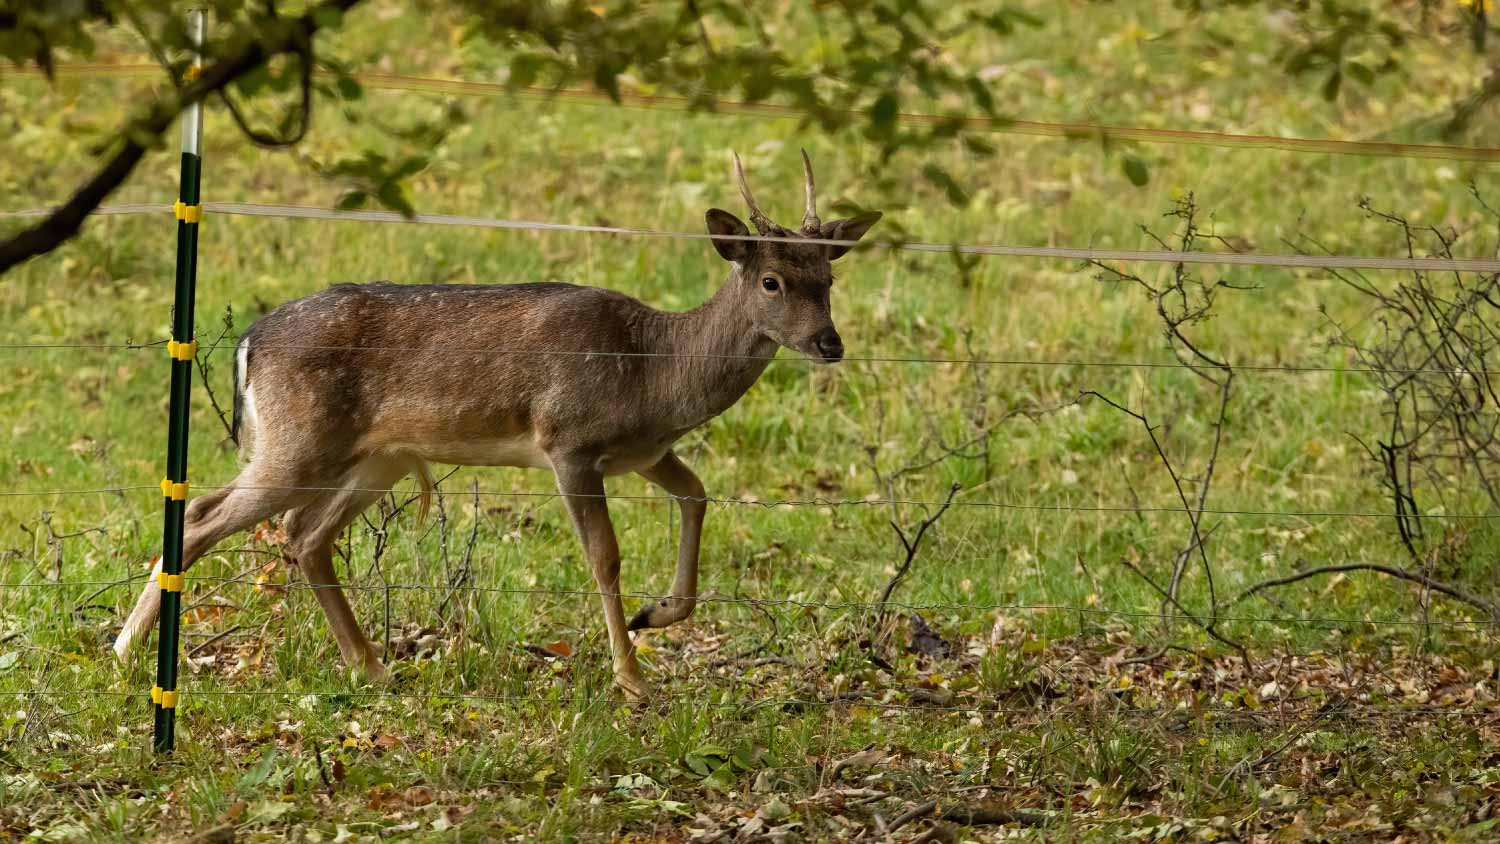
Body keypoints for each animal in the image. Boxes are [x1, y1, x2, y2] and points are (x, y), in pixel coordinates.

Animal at [114, 152, 876, 701]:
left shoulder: (645, 451)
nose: (829, 342)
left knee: (304, 535)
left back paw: (371, 667)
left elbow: (697, 496)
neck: (657, 372)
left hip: (377, 456)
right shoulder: (570, 439)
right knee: (204, 515)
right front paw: (632, 677)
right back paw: (125, 653)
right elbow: (605, 557)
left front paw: (656, 615)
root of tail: (249, 342)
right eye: (773, 280)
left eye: (828, 280)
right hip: (297, 441)